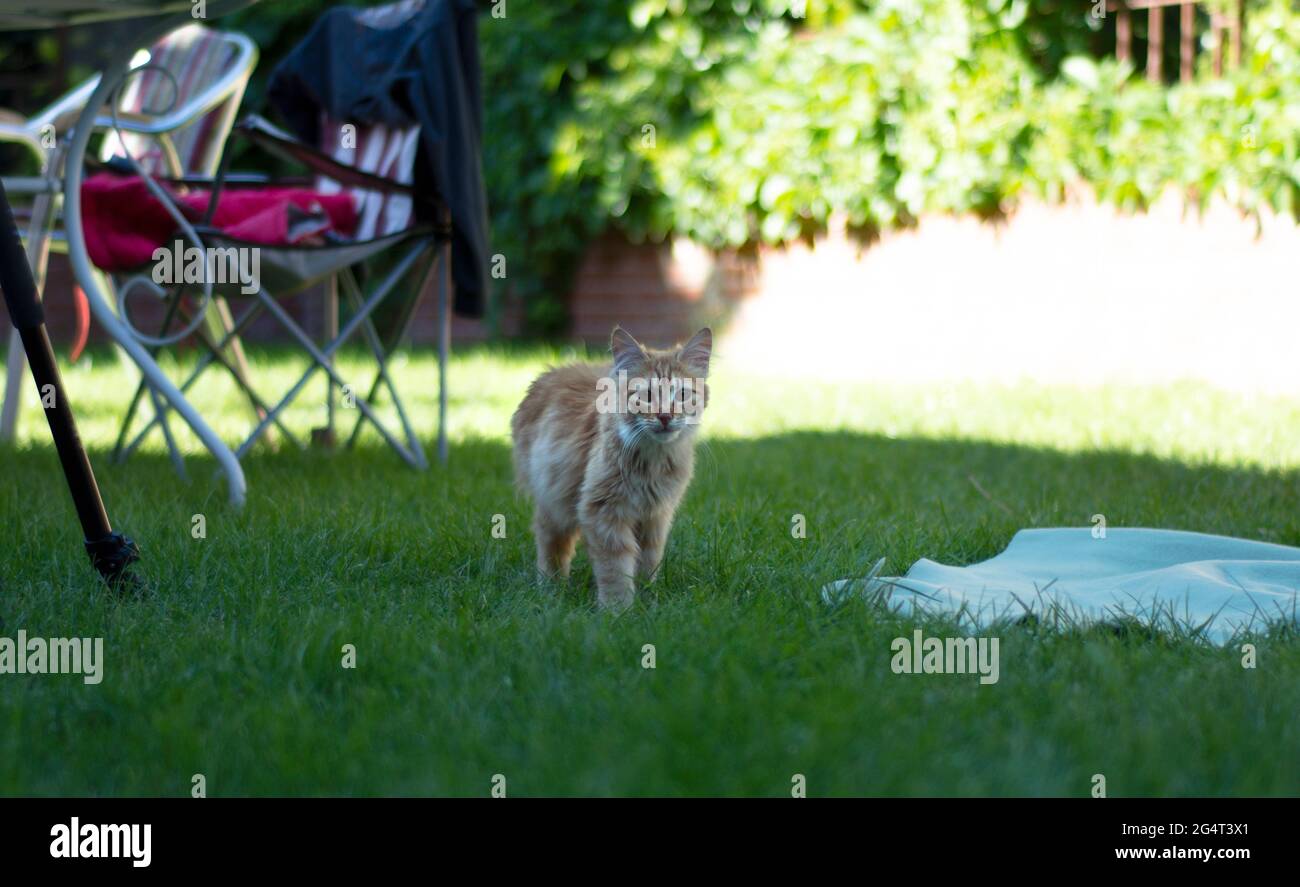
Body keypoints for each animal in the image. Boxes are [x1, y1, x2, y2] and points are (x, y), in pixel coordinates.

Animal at [506, 325, 712, 608]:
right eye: (647, 396)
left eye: (682, 395)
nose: (665, 416)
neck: (653, 461)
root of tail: (551, 372)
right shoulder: (603, 511)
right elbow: (616, 568)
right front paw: (618, 609)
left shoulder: (655, 515)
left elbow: (648, 561)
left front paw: (648, 597)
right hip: (554, 499)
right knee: (550, 540)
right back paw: (551, 587)